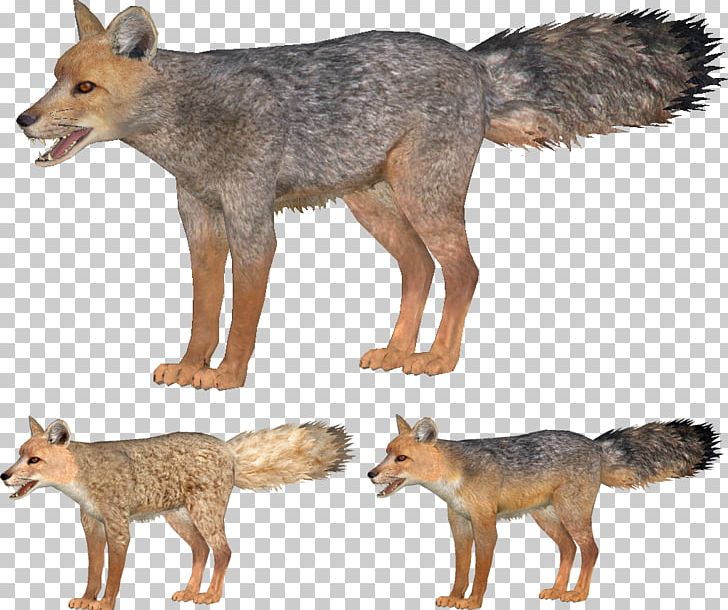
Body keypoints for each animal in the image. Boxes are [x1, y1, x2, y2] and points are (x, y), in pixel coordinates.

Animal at [2, 416, 351, 610]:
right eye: (19, 455)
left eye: (33, 460)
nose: (4, 476)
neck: (83, 477)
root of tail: (226, 448)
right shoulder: (91, 524)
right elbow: (94, 570)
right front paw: (88, 599)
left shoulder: (118, 527)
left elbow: (112, 575)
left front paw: (105, 604)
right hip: (180, 519)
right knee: (202, 549)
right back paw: (191, 591)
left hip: (204, 514)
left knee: (223, 551)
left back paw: (210, 596)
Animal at [16, 2, 722, 389]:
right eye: (54, 79)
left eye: (83, 88)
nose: (23, 120)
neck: (192, 126)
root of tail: (471, 62)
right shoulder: (201, 223)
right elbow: (204, 309)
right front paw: (192, 366)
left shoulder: (253, 224)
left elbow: (240, 317)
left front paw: (230, 376)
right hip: (374, 207)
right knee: (421, 268)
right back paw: (399, 350)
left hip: (423, 198)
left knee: (463, 271)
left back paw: (436, 358)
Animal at [368, 415, 719, 609]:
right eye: (386, 453)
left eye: (400, 458)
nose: (371, 474)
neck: (455, 476)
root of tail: (594, 445)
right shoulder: (460, 525)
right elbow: (461, 569)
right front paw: (455, 597)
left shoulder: (485, 525)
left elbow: (480, 571)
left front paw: (473, 602)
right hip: (547, 518)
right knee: (569, 548)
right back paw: (558, 590)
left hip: (571, 514)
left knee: (590, 549)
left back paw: (577, 593)